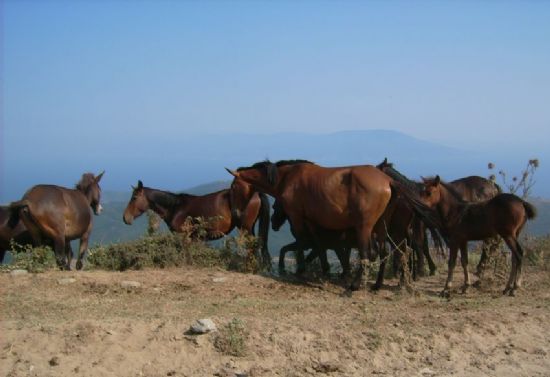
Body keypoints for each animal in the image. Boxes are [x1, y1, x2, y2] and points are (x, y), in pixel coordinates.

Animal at [124, 180, 272, 264]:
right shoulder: (194, 238)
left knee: (252, 246)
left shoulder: (185, 236)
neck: (175, 206)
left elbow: (187, 255)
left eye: (134, 197)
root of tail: (256, 192)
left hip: (246, 227)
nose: (125, 218)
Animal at [224, 159, 440, 290]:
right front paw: (325, 269)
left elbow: (301, 243)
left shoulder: (297, 217)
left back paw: (357, 284)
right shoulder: (313, 223)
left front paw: (300, 270)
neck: (288, 178)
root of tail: (388, 181)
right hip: (381, 227)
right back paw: (377, 284)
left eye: (233, 187)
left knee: (367, 253)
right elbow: (319, 246)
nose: (235, 213)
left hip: (365, 228)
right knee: (385, 252)